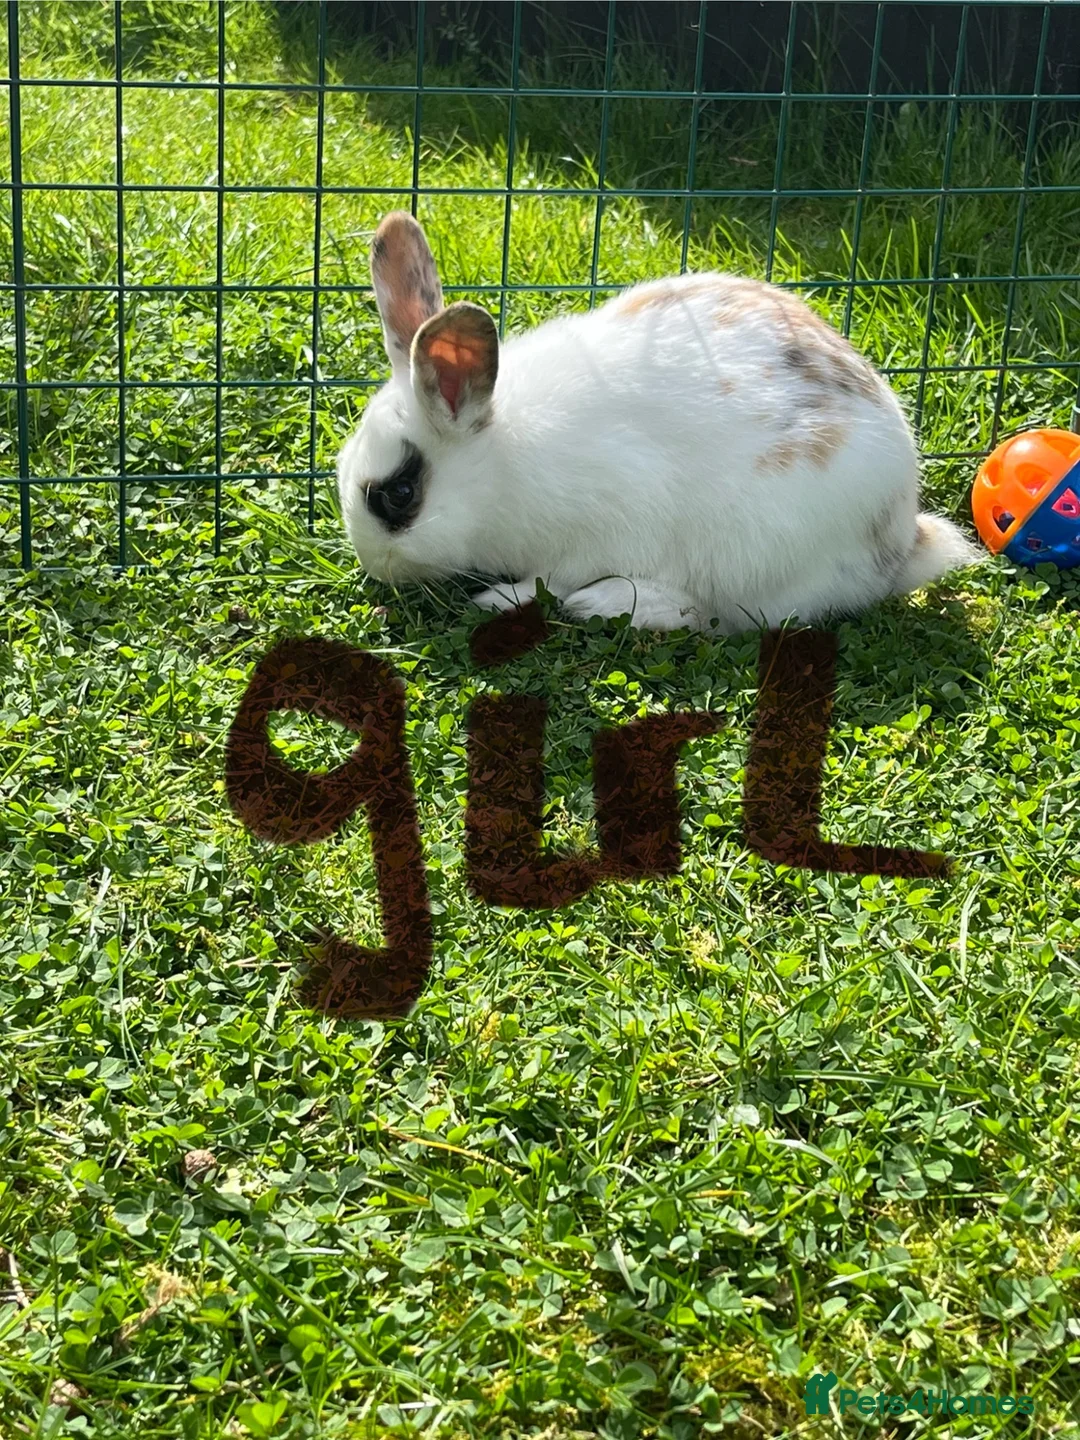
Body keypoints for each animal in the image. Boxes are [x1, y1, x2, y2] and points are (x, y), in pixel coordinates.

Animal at [336, 210, 979, 634]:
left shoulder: (603, 526)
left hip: (752, 557)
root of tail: (901, 540)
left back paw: (608, 606)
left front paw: (499, 600)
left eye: (399, 494)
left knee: (715, 615)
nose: (376, 567)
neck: (501, 463)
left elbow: (551, 580)